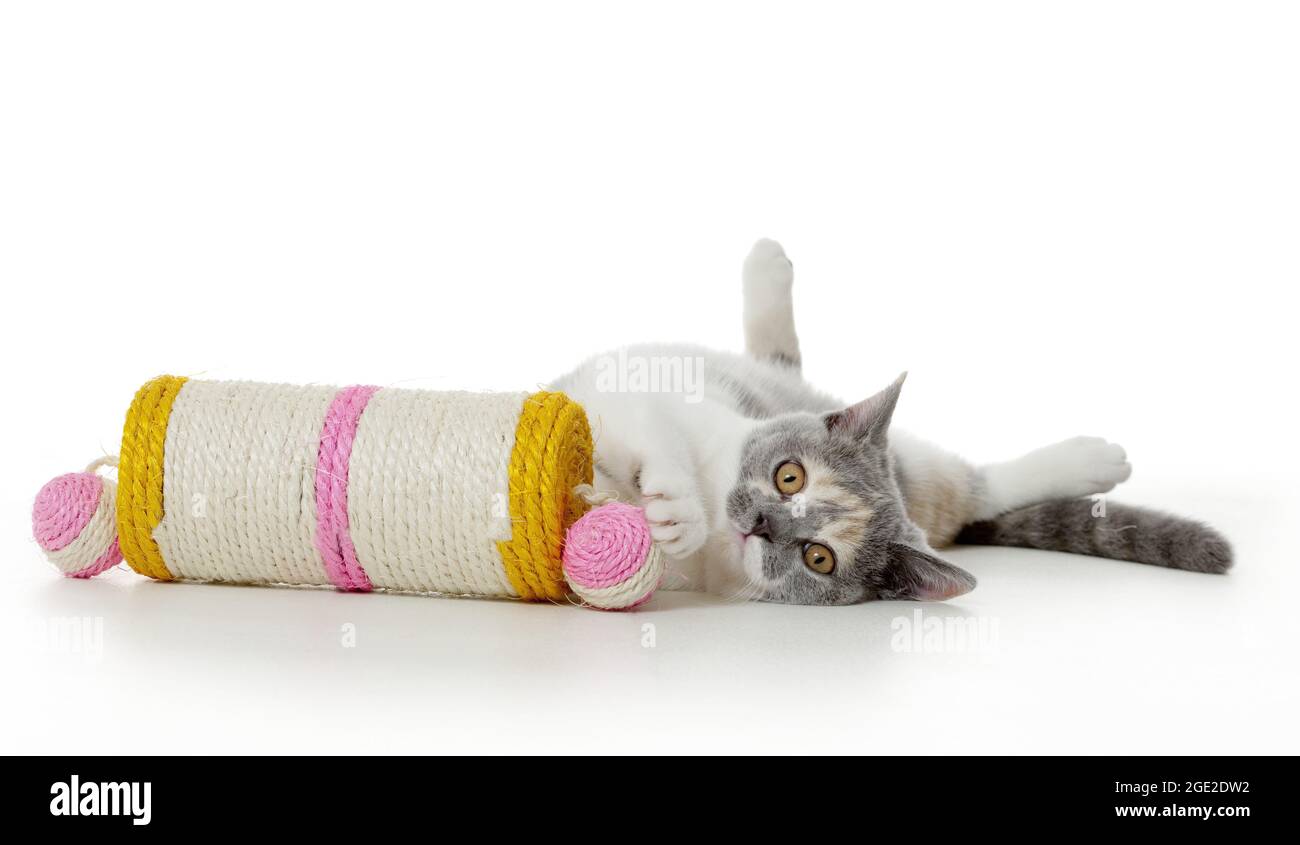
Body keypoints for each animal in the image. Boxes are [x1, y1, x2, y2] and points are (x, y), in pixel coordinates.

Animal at [548, 236, 1227, 603]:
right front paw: (675, 503)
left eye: (818, 558)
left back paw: (1092, 459)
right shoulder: (629, 394)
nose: (764, 524)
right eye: (789, 476)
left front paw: (672, 517)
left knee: (982, 487)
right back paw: (767, 265)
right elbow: (649, 426)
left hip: (934, 477)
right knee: (774, 354)